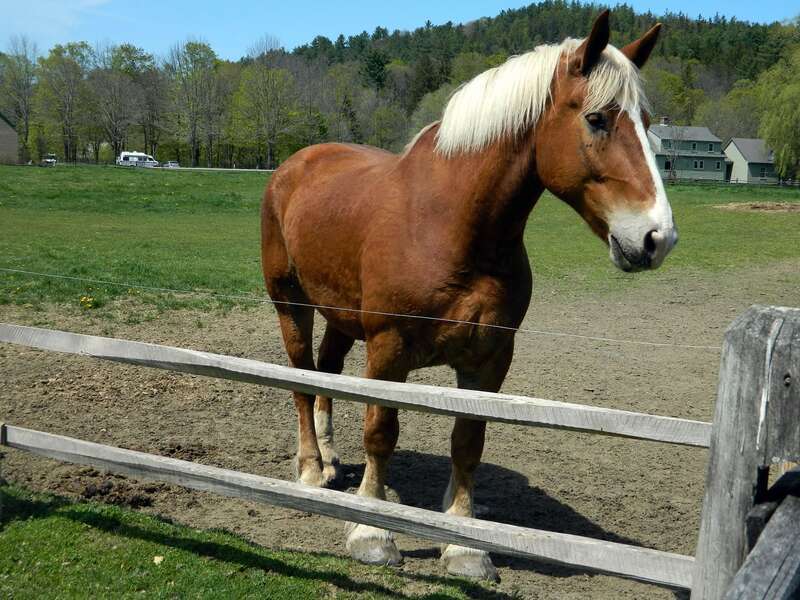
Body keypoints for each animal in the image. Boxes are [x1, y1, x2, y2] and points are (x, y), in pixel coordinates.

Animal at [261, 10, 676, 580]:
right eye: (597, 119)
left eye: (649, 122)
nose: (657, 238)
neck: (450, 223)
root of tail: (294, 165)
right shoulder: (387, 350)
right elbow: (381, 432)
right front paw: (372, 532)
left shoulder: (490, 357)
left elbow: (467, 442)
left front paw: (463, 545)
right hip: (292, 305)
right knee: (302, 379)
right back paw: (310, 469)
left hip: (342, 315)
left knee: (326, 372)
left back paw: (333, 463)